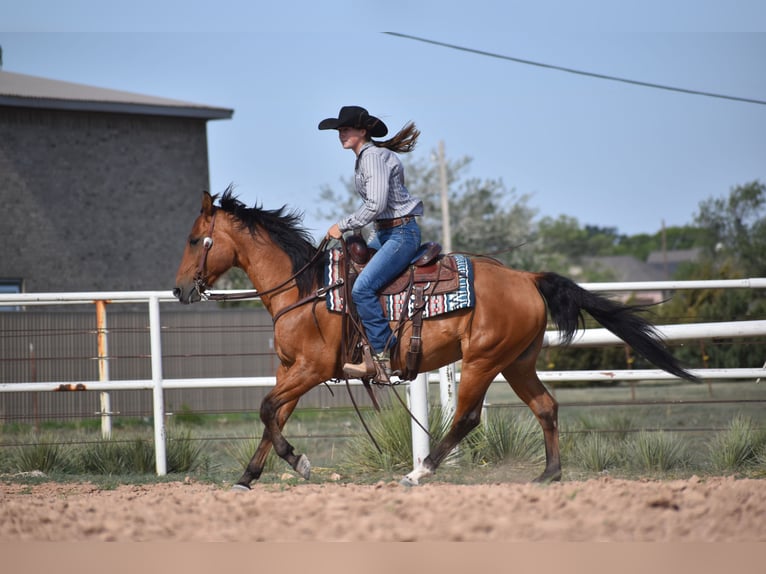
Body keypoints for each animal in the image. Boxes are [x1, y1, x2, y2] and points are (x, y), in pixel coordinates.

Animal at [173, 188, 697, 488]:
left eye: (196, 240)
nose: (179, 290)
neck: (307, 290)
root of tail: (526, 277)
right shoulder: (290, 369)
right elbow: (272, 415)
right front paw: (247, 477)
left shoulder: (313, 369)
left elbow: (266, 410)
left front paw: (298, 464)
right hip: (517, 362)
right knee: (546, 407)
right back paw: (549, 475)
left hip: (482, 361)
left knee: (467, 418)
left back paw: (418, 471)